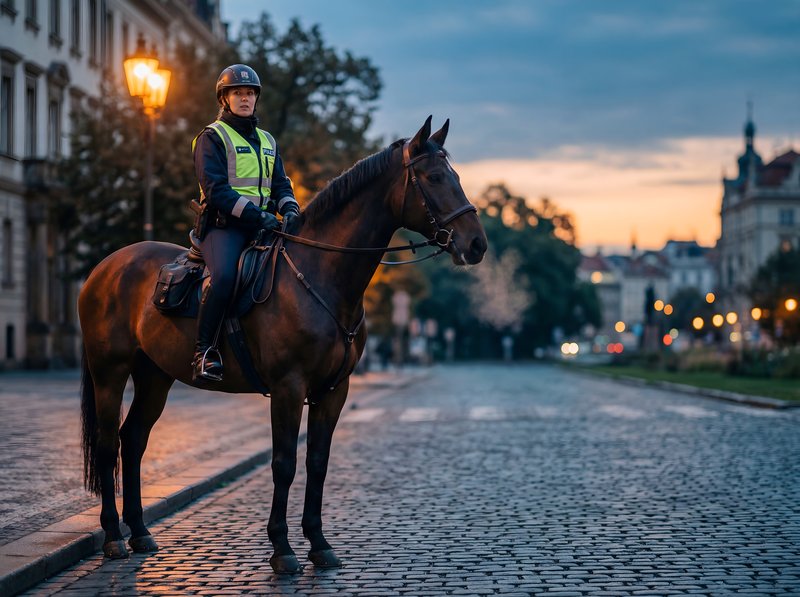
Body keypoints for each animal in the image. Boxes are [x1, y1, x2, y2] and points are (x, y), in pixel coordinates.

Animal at [79, 116, 488, 574]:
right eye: (434, 177)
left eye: (455, 176)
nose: (476, 243)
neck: (320, 276)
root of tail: (106, 266)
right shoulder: (288, 388)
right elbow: (284, 463)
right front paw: (282, 547)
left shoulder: (334, 390)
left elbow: (317, 462)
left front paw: (319, 543)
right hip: (110, 372)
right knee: (109, 444)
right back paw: (113, 537)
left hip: (155, 376)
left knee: (133, 441)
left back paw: (139, 532)